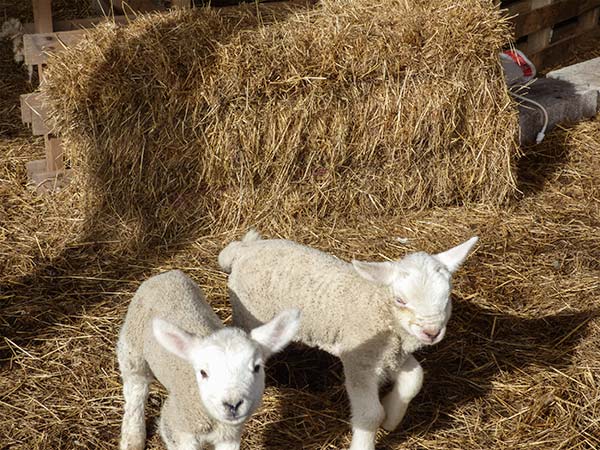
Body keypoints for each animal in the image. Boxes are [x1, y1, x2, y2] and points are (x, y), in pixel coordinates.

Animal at [118, 270, 302, 450]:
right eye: (203, 372)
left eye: (257, 367)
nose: (232, 405)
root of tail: (165, 275)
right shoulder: (176, 427)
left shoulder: (230, 436)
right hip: (133, 349)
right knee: (136, 390)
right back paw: (133, 438)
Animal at [219, 232, 478, 450]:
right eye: (400, 300)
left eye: (447, 297)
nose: (432, 332)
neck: (380, 307)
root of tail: (243, 249)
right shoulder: (360, 360)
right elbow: (370, 415)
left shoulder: (390, 355)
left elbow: (415, 379)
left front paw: (392, 418)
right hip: (249, 315)